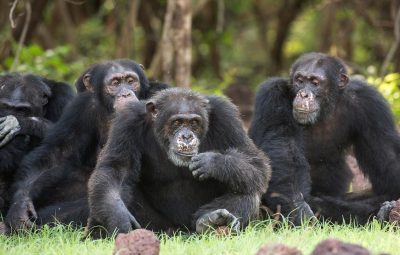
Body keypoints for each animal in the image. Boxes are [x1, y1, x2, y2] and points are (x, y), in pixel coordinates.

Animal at [86, 87, 270, 237]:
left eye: (194, 122)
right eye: (177, 122)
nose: (187, 136)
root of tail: (181, 232)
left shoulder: (227, 117)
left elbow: (256, 163)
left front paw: (213, 162)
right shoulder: (127, 122)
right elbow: (116, 169)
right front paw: (119, 217)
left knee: (248, 190)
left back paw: (208, 221)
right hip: (160, 227)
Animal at [248, 52, 400, 225]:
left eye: (315, 83)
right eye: (299, 80)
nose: (303, 94)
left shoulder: (370, 104)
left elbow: (389, 161)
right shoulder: (274, 94)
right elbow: (284, 149)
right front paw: (299, 210)